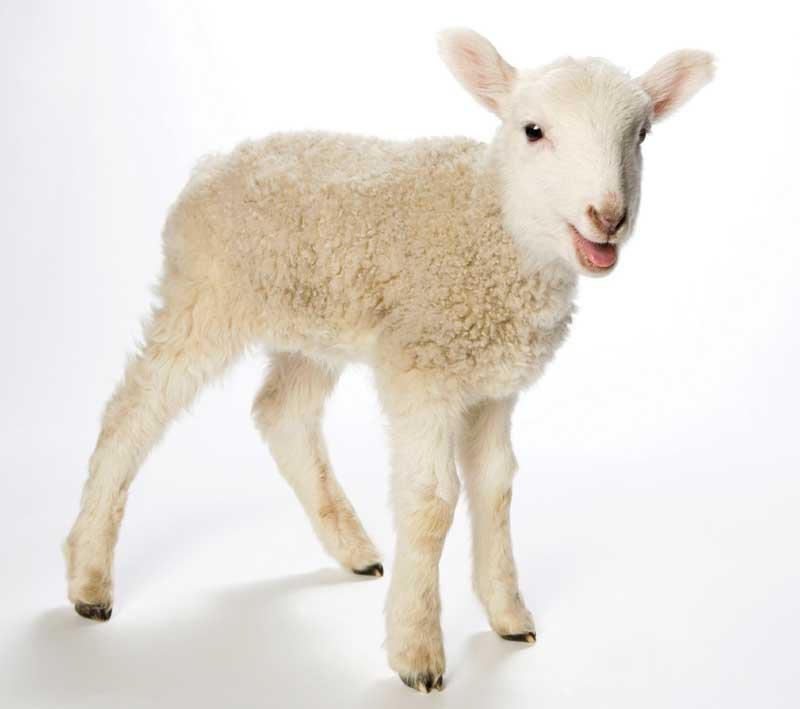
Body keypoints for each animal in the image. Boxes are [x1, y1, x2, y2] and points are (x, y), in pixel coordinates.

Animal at [63, 28, 714, 692]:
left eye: (642, 135)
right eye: (533, 130)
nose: (607, 217)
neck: (492, 228)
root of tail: (215, 163)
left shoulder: (493, 382)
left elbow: (495, 485)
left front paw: (508, 615)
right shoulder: (421, 366)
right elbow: (431, 501)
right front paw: (417, 651)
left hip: (313, 323)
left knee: (280, 412)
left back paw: (353, 549)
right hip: (205, 295)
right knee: (131, 412)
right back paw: (89, 580)